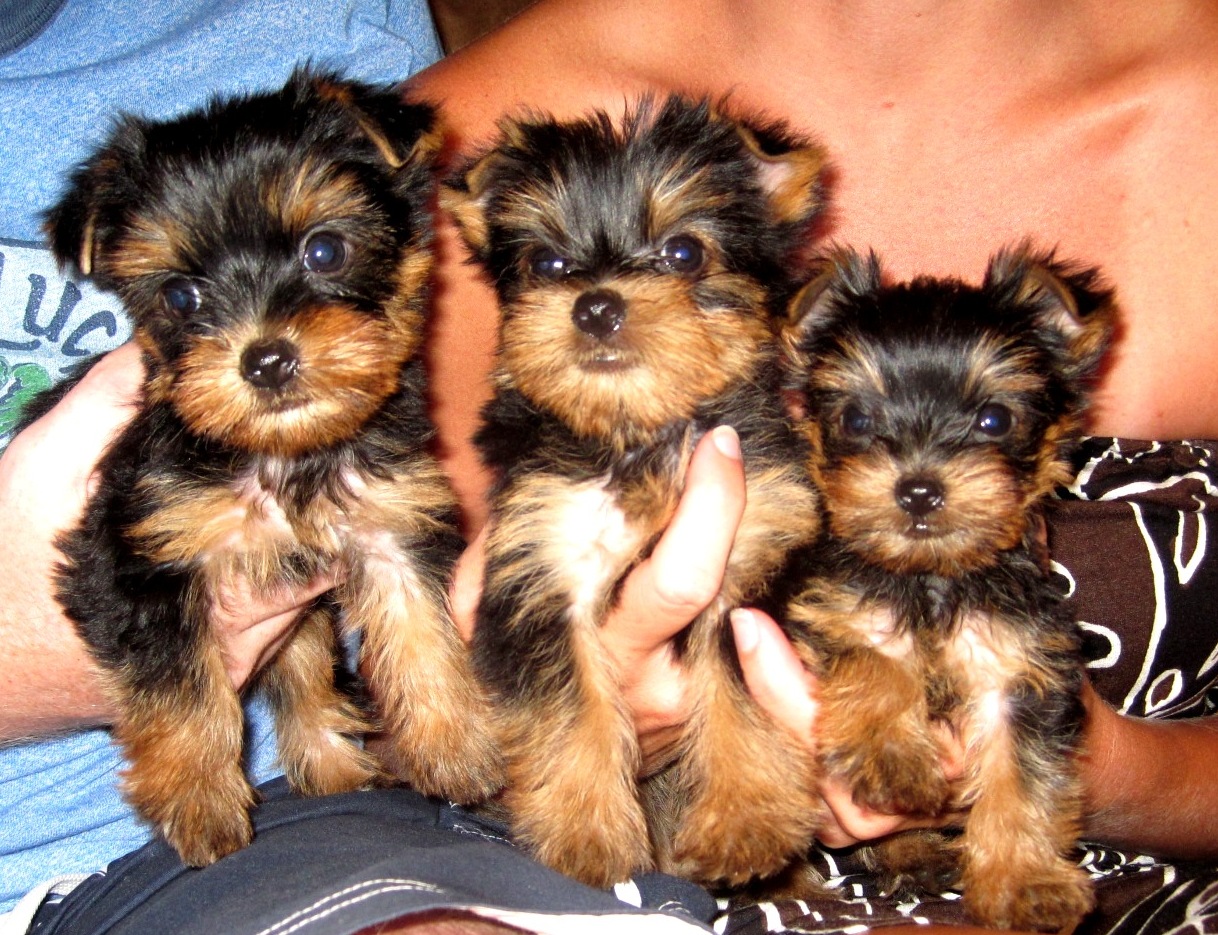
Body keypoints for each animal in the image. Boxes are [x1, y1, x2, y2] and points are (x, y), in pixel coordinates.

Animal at [33, 69, 499, 866]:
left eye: (325, 251)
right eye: (179, 295)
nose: (266, 357)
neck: (286, 455)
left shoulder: (389, 516)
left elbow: (421, 625)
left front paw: (457, 742)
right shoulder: (138, 548)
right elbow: (177, 679)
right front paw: (198, 798)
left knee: (304, 662)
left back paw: (333, 761)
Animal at [445, 96, 828, 891]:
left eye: (683, 253)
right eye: (546, 264)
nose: (594, 305)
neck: (637, 433)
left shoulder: (756, 553)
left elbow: (741, 680)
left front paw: (748, 819)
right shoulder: (540, 562)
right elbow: (568, 701)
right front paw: (584, 832)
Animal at [779, 244, 1115, 930]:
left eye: (994, 418)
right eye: (857, 417)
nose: (918, 489)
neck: (930, 578)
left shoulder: (1019, 668)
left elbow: (1023, 776)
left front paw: (1025, 881)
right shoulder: (826, 612)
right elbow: (873, 662)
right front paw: (892, 757)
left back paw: (914, 852)